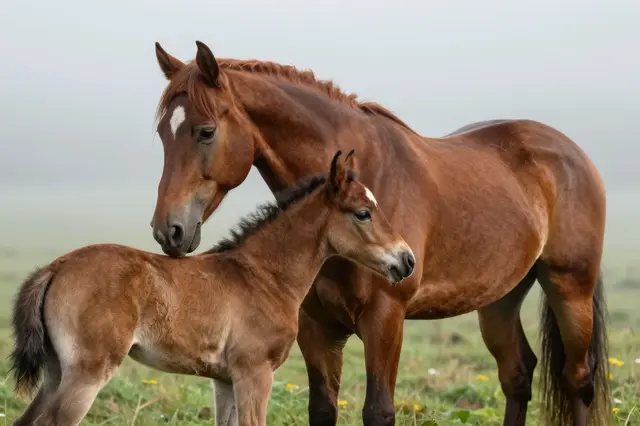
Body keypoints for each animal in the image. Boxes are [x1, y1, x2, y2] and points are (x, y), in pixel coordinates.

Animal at [9, 150, 416, 426]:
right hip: (88, 371)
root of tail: (56, 267)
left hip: (56, 372)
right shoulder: (254, 372)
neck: (265, 277)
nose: (407, 260)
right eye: (363, 213)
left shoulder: (224, 380)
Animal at [149, 40, 610, 426]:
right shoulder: (316, 327)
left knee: (577, 379)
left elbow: (378, 412)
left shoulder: (385, 319)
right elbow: (323, 409)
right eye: (161, 134)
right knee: (517, 375)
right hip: (500, 300)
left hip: (570, 287)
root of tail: (574, 153)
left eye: (206, 131)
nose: (168, 231)